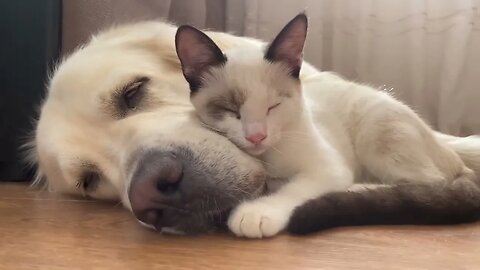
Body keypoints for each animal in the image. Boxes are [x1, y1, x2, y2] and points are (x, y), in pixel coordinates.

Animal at [174, 13, 354, 237]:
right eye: (231, 110)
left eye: (273, 106)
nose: (256, 136)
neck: (268, 159)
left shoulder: (329, 168)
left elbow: (294, 188)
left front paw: (256, 212)